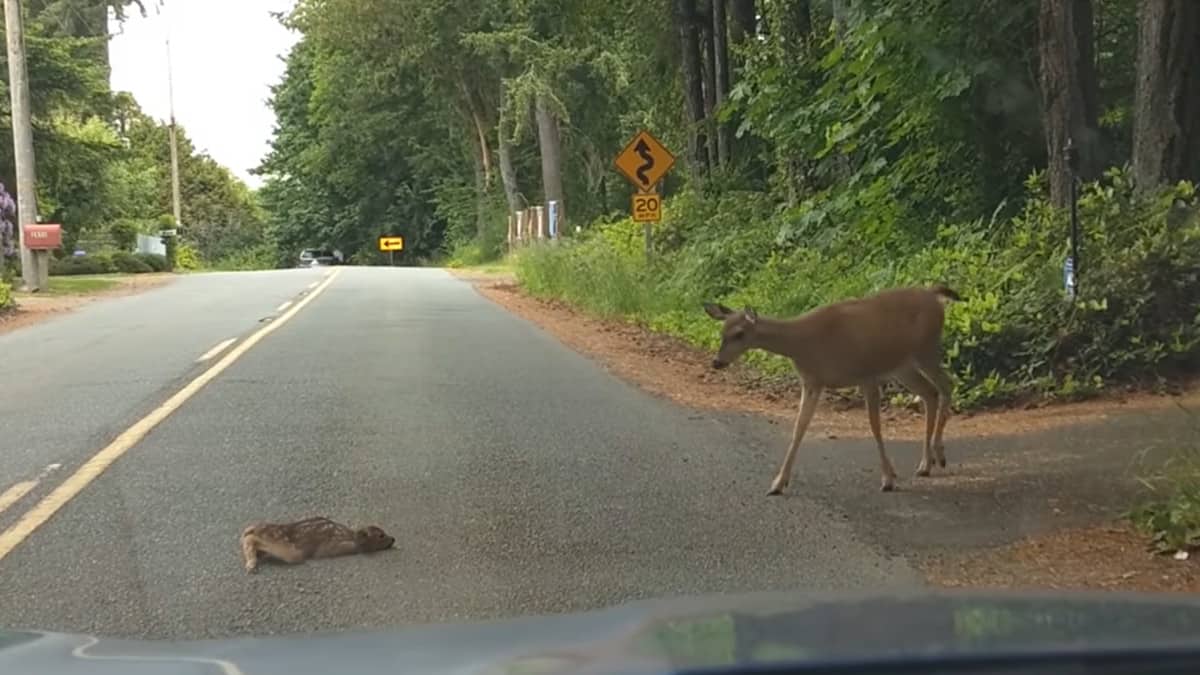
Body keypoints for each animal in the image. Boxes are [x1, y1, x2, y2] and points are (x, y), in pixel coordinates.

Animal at [700, 281, 955, 492]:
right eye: (722, 332)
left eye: (739, 334)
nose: (717, 362)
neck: (803, 344)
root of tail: (934, 295)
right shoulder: (813, 381)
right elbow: (799, 427)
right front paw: (778, 483)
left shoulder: (866, 374)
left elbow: (875, 426)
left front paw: (887, 479)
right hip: (903, 366)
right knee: (930, 393)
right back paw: (926, 464)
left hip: (925, 349)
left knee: (946, 385)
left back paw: (939, 456)